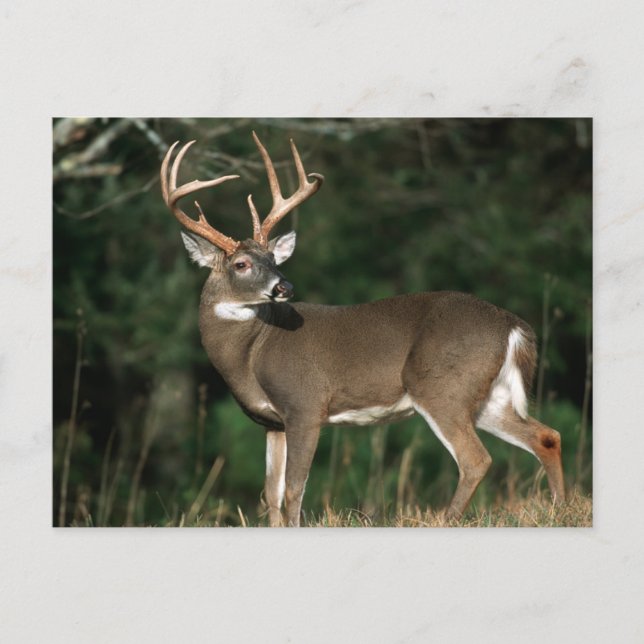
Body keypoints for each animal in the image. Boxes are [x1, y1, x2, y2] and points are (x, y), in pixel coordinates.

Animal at [160, 132, 565, 527]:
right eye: (242, 264)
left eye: (274, 258)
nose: (284, 287)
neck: (251, 353)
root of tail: (512, 324)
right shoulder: (272, 423)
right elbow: (271, 495)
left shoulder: (305, 404)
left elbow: (293, 490)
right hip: (486, 395)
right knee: (546, 436)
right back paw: (560, 508)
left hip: (440, 385)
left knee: (476, 458)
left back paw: (449, 520)